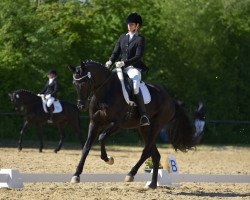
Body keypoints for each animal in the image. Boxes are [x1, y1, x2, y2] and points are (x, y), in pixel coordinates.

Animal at [68, 61, 195, 189]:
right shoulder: (94, 123)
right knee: (155, 155)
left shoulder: (117, 124)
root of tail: (170, 99)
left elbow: (102, 137)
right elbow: (86, 147)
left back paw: (131, 175)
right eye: (74, 83)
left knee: (146, 152)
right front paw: (76, 175)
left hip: (156, 126)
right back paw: (152, 185)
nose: (81, 106)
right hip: (144, 128)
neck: (105, 91)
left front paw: (108, 159)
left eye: (85, 83)